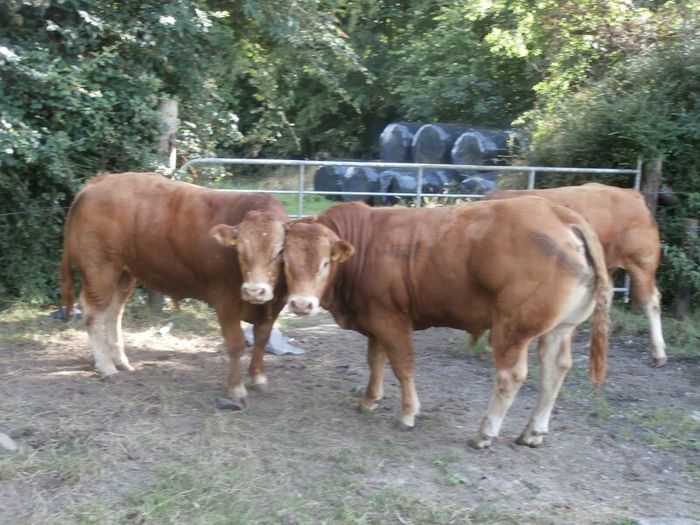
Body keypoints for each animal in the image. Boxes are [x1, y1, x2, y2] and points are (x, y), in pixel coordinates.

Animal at [59, 172, 288, 409]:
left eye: (280, 251)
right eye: (240, 250)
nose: (254, 291)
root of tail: (98, 181)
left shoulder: (275, 306)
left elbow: (262, 339)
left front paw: (258, 378)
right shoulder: (225, 301)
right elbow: (236, 345)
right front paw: (236, 390)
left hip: (124, 273)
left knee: (114, 312)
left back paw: (121, 361)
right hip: (100, 269)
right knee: (93, 313)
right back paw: (106, 366)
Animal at [282, 199, 610, 448]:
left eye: (325, 263)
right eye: (285, 261)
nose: (301, 304)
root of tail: (559, 213)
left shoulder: (391, 319)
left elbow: (402, 366)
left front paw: (408, 414)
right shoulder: (374, 316)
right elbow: (375, 359)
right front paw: (370, 400)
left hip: (511, 329)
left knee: (511, 377)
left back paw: (484, 434)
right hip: (560, 328)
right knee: (555, 371)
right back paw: (533, 433)